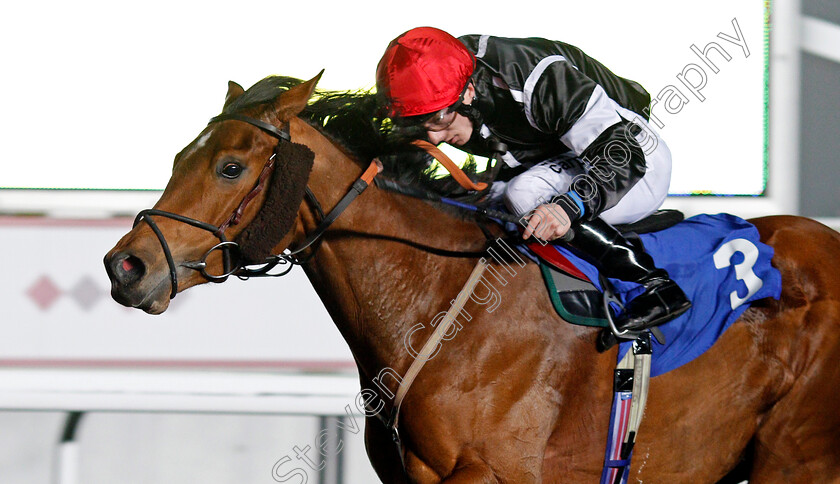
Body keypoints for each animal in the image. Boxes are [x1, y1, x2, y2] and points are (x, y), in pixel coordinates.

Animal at [103, 73, 840, 482]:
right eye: (180, 154)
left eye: (230, 167)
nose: (126, 265)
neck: (435, 300)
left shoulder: (499, 470)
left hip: (794, 456)